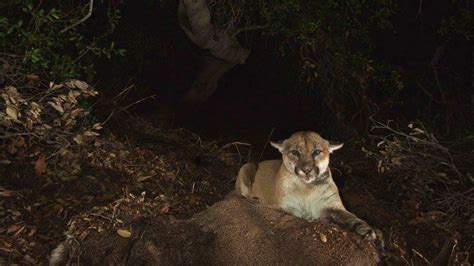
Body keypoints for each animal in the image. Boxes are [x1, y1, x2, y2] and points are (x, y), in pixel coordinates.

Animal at [236, 131, 378, 241]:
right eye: (295, 152)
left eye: (317, 152)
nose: (307, 170)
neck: (306, 188)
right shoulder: (284, 207)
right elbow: (295, 214)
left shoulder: (333, 206)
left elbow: (351, 217)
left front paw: (368, 230)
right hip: (247, 166)